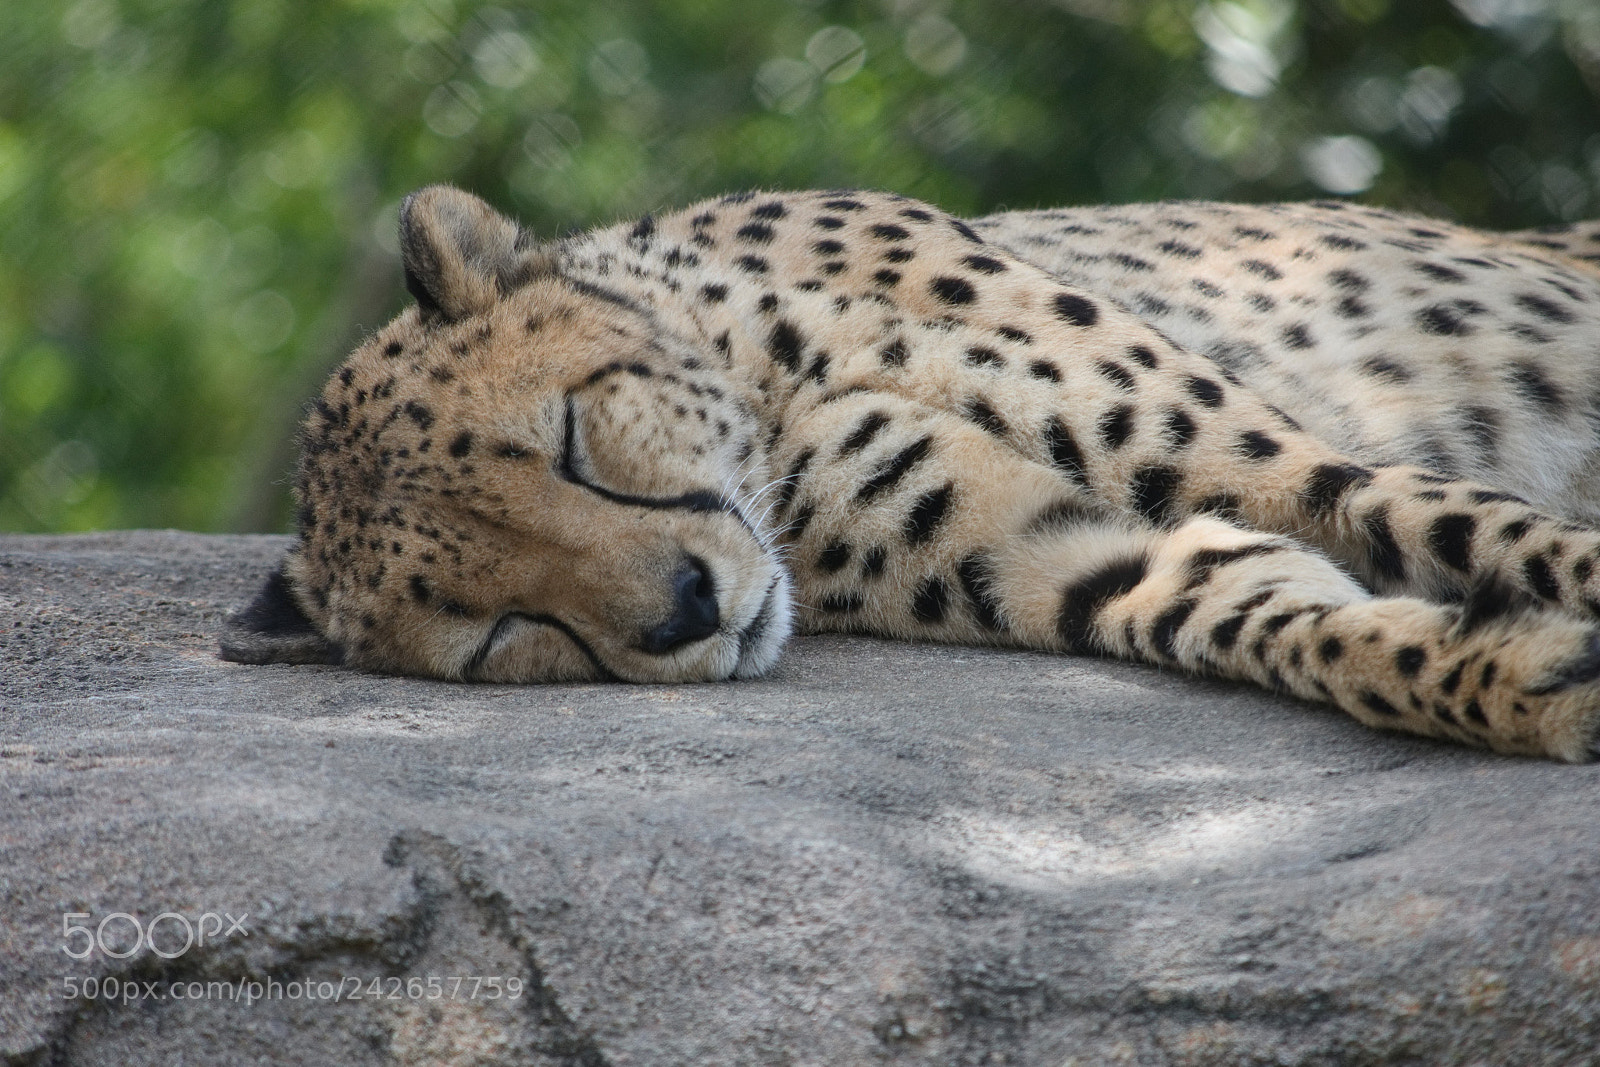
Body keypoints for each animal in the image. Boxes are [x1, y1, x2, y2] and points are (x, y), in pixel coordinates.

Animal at [220, 184, 1600, 762]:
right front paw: (1520, 680)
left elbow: (1463, 522)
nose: (683, 611)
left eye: (567, 441)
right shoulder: (1078, 553)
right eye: (500, 631)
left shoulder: (1274, 457)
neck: (772, 411)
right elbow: (1271, 615)